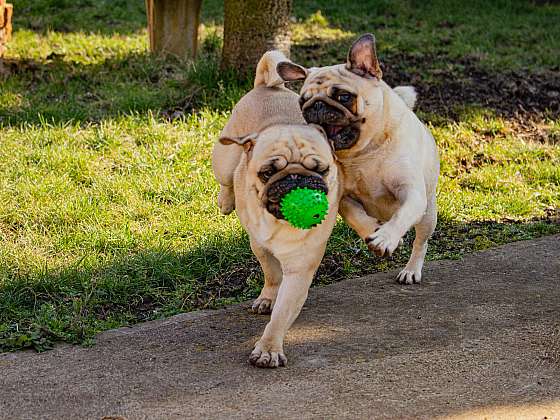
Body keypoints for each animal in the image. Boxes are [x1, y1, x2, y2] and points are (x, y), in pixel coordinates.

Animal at [211, 51, 340, 368]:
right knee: (226, 178)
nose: (295, 178)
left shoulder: (300, 268)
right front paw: (268, 298)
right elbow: (271, 274)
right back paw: (226, 201)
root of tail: (268, 85)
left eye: (320, 169)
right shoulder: (260, 245)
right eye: (268, 173)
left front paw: (269, 347)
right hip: (224, 157)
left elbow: (282, 314)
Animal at [278, 32, 440, 282]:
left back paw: (411, 269)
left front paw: (385, 238)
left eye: (344, 97)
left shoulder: (411, 192)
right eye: (302, 101)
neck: (365, 151)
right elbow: (355, 215)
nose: (316, 106)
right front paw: (372, 231)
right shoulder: (342, 196)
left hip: (427, 215)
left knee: (420, 242)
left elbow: (402, 216)